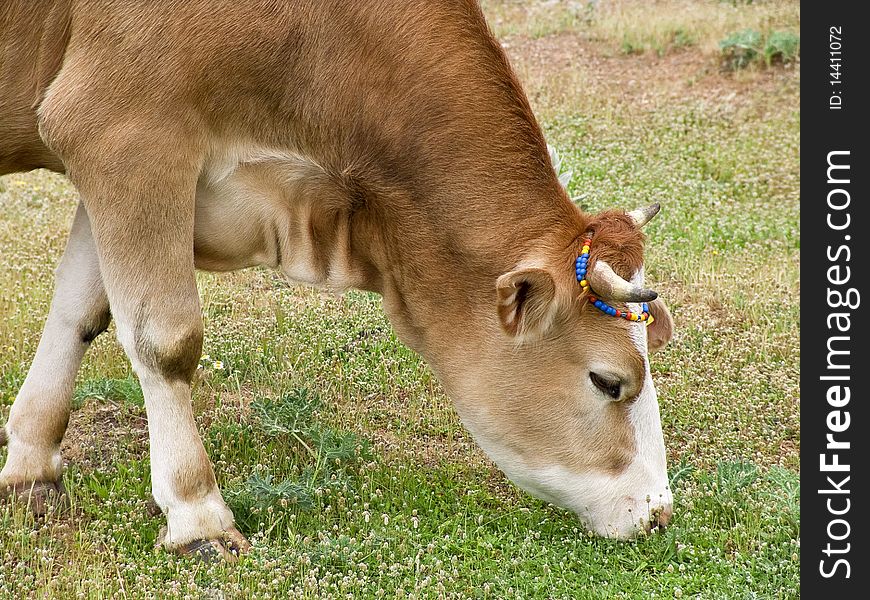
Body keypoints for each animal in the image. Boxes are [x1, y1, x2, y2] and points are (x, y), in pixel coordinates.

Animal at [0, 0, 676, 556]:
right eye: (609, 380)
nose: (659, 513)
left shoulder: (115, 163)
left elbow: (80, 312)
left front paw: (30, 467)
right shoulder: (123, 132)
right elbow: (166, 339)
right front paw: (197, 515)